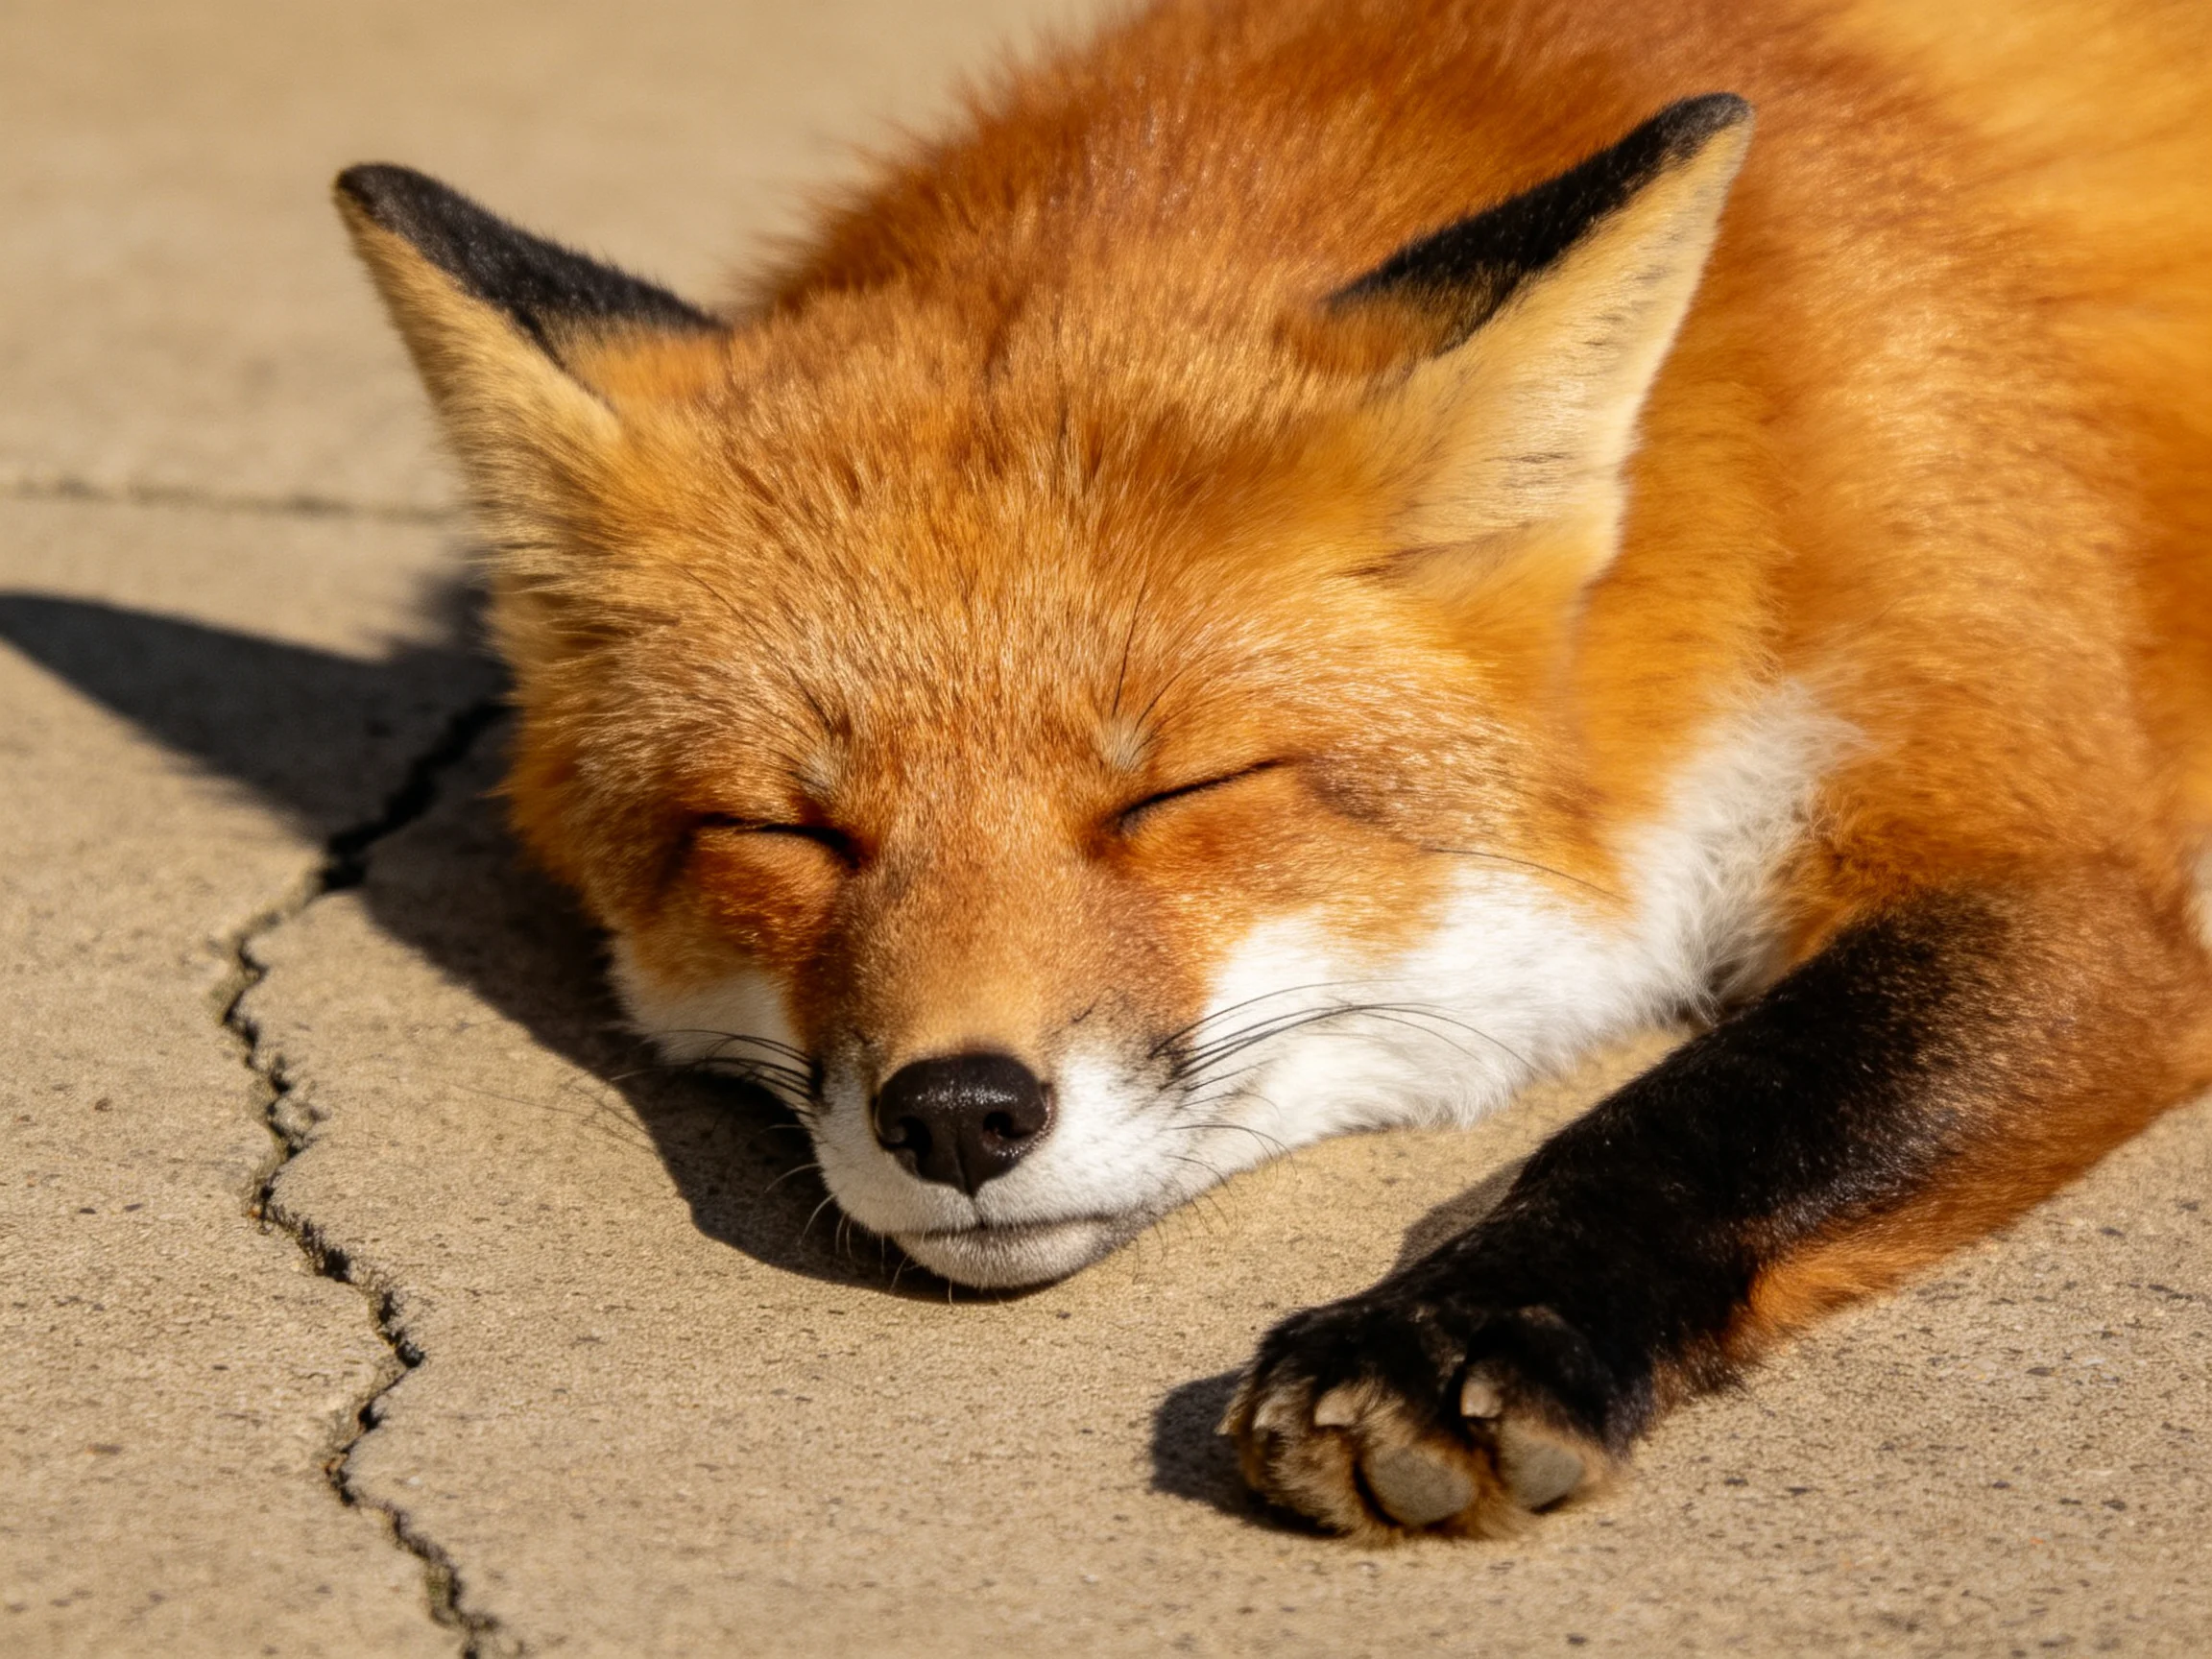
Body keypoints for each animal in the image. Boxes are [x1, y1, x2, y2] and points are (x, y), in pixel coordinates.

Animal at [334, 0, 2212, 1540]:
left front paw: (1456, 1330)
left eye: (1170, 796)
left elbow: (1723, 1101)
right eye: (786, 831)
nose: (957, 1113)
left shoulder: (2035, 836)